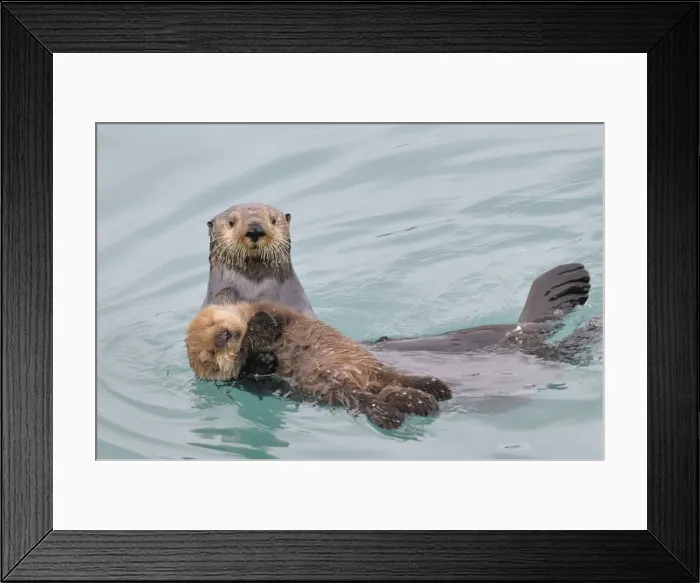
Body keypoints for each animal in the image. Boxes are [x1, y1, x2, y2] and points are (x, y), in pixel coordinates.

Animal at [185, 301, 452, 430]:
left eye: (212, 322)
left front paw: (258, 326)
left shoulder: (276, 311)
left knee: (394, 380)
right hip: (340, 391)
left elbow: (269, 320)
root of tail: (366, 382)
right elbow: (251, 364)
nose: (223, 336)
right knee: (371, 399)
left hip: (370, 367)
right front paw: (263, 359)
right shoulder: (246, 378)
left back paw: (432, 388)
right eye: (211, 353)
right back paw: (398, 411)